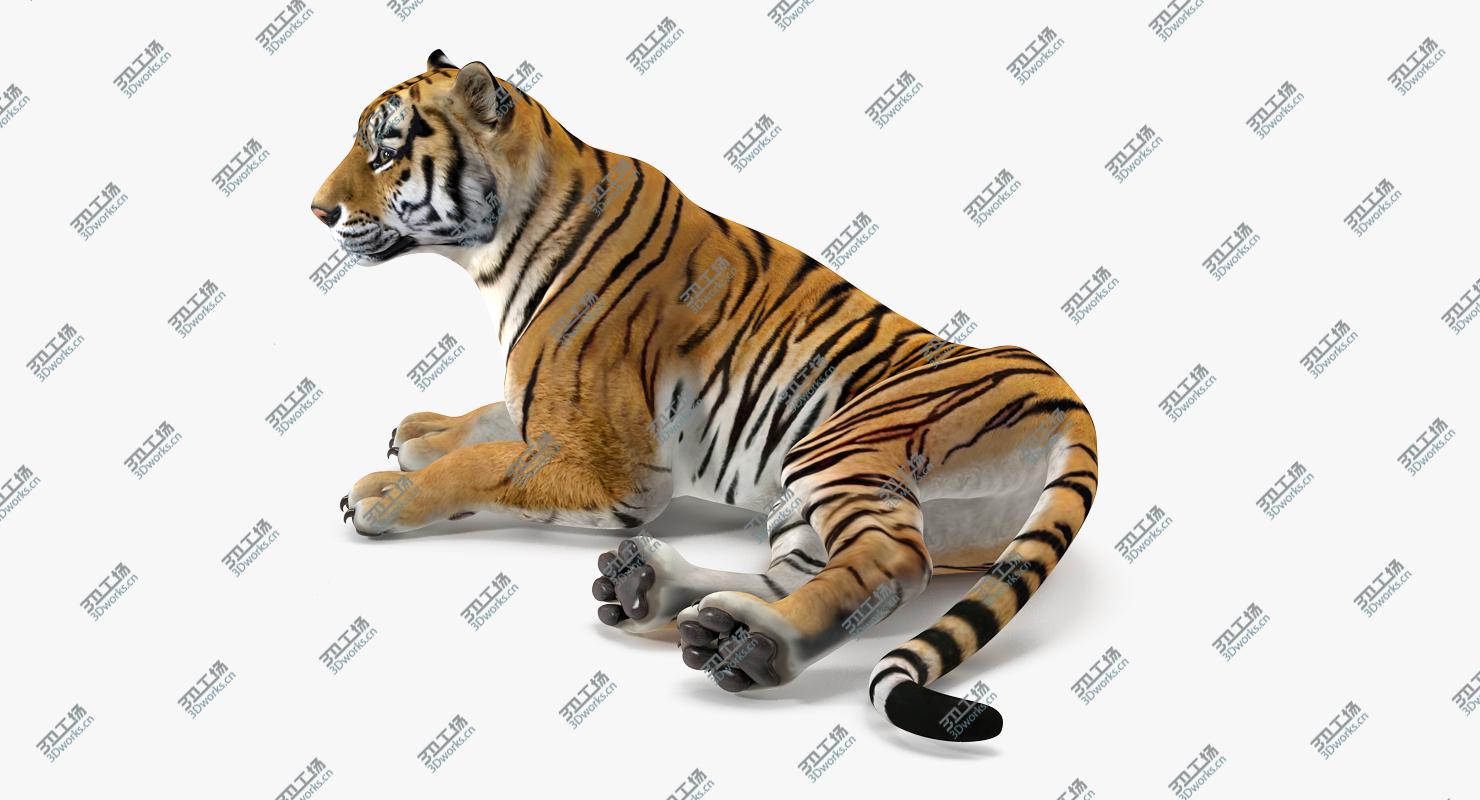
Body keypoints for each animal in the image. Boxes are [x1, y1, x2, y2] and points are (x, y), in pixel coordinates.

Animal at [311, 50, 1099, 743]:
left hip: (840, 446)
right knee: (802, 571)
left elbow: (484, 464)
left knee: (892, 563)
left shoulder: (618, 471)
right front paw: (418, 433)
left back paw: (752, 643)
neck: (497, 246)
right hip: (812, 503)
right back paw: (662, 596)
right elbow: (490, 416)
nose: (317, 211)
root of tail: (1071, 401)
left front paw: (384, 495)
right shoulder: (551, 412)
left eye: (383, 152)